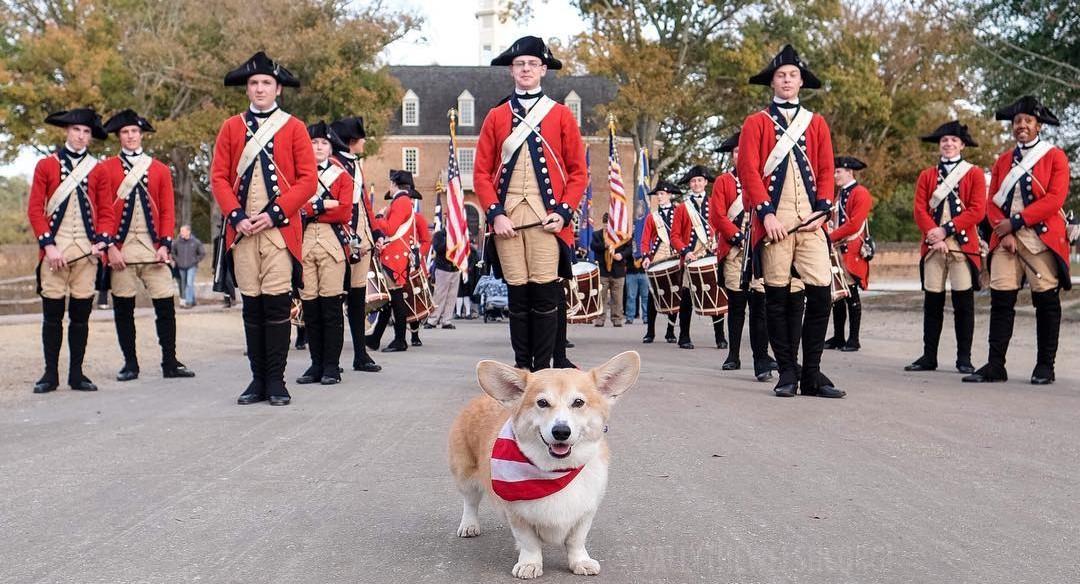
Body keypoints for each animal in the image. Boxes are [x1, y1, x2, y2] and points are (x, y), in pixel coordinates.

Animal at [449, 349, 639, 578]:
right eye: (542, 403)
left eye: (578, 402)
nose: (561, 431)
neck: (556, 471)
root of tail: (482, 397)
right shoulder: (517, 514)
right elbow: (529, 542)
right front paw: (529, 564)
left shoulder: (585, 513)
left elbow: (577, 540)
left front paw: (581, 562)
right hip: (465, 475)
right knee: (470, 501)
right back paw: (469, 525)